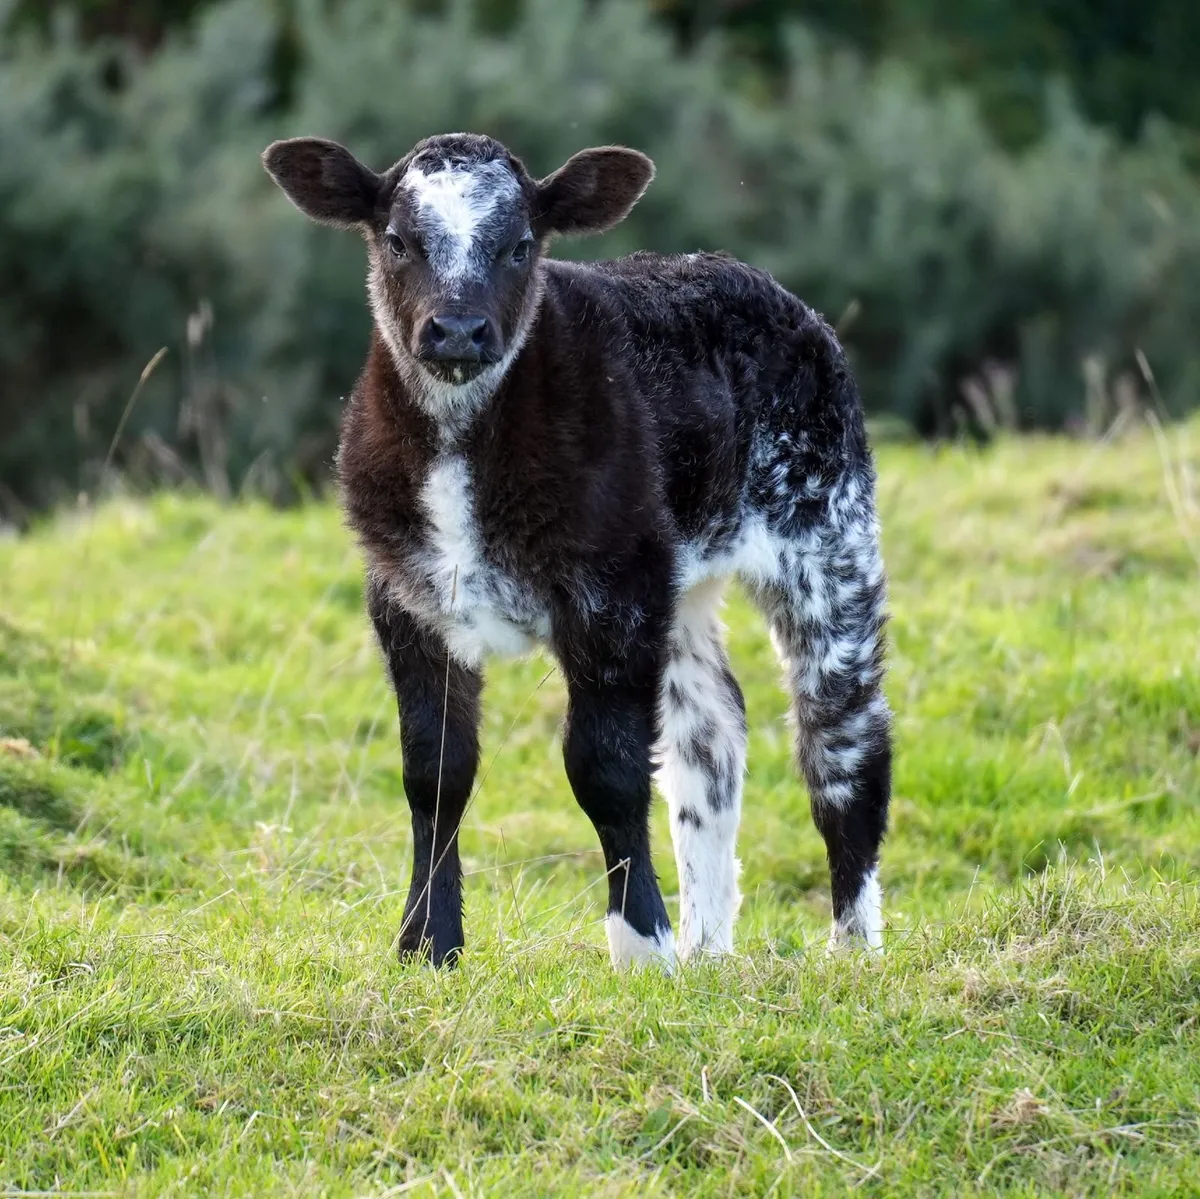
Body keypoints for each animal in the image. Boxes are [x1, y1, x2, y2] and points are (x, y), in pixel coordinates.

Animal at [261, 131, 891, 970]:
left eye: (521, 245)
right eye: (397, 240)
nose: (457, 330)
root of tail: (741, 276)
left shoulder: (612, 592)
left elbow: (606, 767)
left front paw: (642, 943)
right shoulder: (406, 596)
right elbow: (434, 769)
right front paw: (427, 941)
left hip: (826, 532)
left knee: (842, 741)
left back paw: (851, 944)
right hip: (680, 578)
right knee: (711, 735)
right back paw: (708, 946)